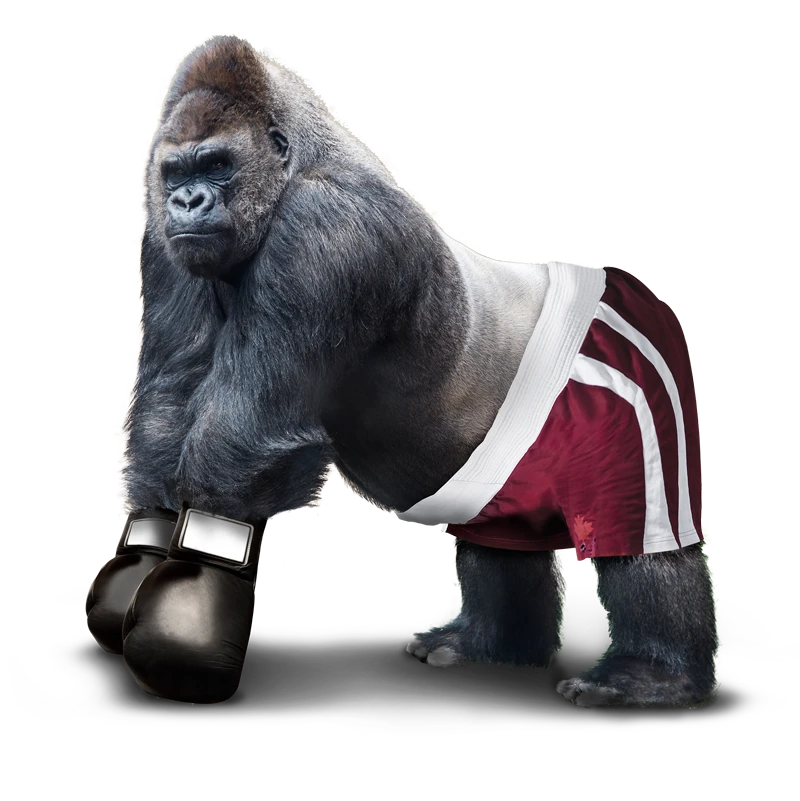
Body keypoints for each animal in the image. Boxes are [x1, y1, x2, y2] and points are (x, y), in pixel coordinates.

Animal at [85, 34, 720, 708]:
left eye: (217, 164)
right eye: (177, 173)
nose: (187, 200)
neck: (295, 162)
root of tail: (635, 290)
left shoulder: (325, 230)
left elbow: (242, 436)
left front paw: (190, 605)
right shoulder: (163, 239)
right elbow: (169, 404)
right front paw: (141, 564)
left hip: (629, 368)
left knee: (641, 537)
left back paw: (653, 674)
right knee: (500, 537)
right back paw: (490, 644)